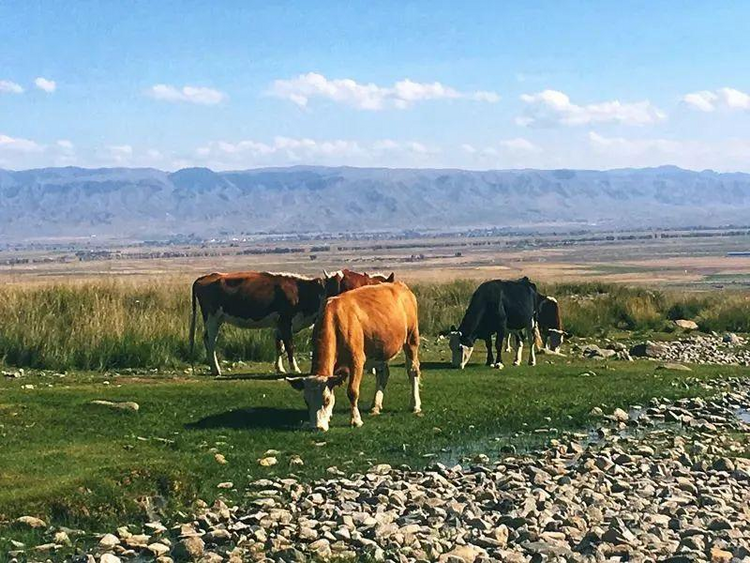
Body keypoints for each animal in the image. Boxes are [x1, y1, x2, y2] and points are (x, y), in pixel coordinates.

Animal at [188, 272, 326, 376]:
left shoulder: (279, 325)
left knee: (207, 339)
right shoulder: (285, 322)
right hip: (212, 318)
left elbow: (279, 346)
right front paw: (295, 369)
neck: (300, 291)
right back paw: (216, 370)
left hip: (215, 320)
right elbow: (289, 346)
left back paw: (213, 369)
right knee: (210, 340)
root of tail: (205, 277)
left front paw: (280, 368)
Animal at [286, 282, 420, 432]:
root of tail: (399, 285)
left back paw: (415, 405)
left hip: (411, 339)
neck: (335, 321)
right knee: (383, 374)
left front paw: (356, 420)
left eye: (326, 400)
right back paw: (375, 406)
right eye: (306, 401)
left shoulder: (357, 361)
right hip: (380, 349)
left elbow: (352, 391)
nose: (317, 427)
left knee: (413, 371)